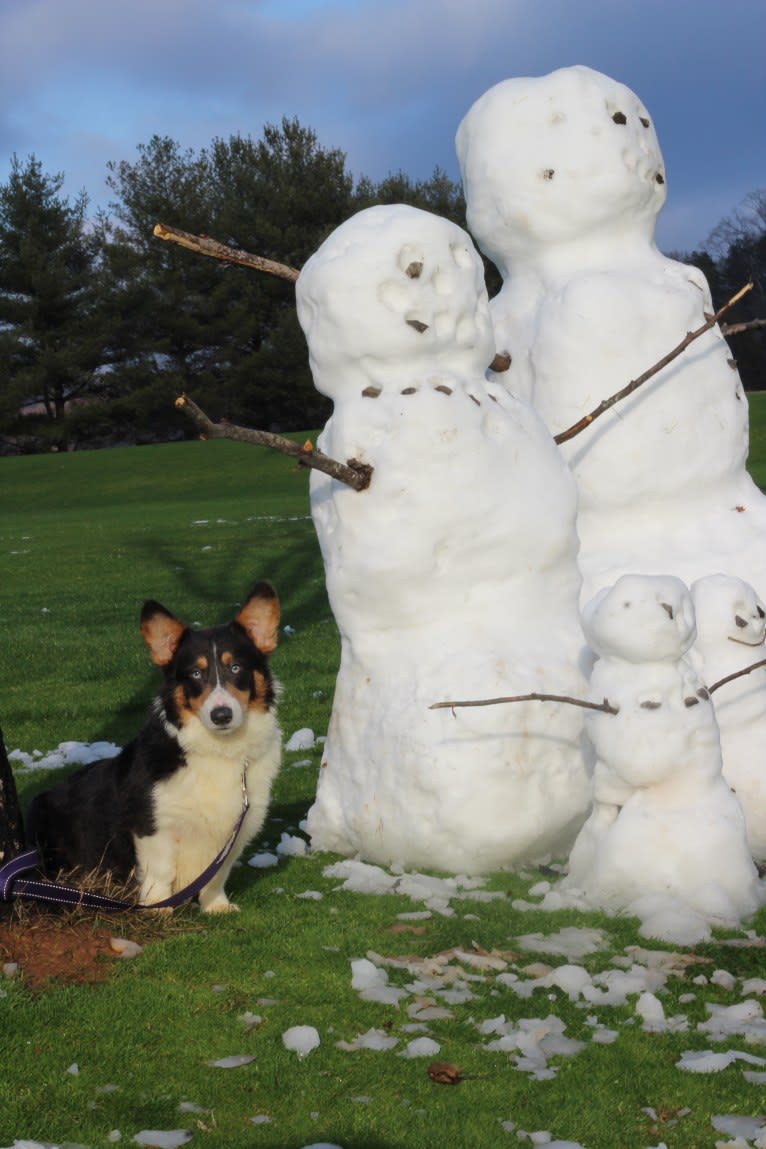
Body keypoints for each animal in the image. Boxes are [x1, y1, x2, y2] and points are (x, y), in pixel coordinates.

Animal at [27, 583, 284, 914]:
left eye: (236, 667)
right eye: (195, 674)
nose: (222, 715)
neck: (218, 750)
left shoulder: (236, 830)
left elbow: (217, 876)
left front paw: (217, 907)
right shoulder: (152, 824)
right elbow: (161, 870)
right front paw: (158, 909)